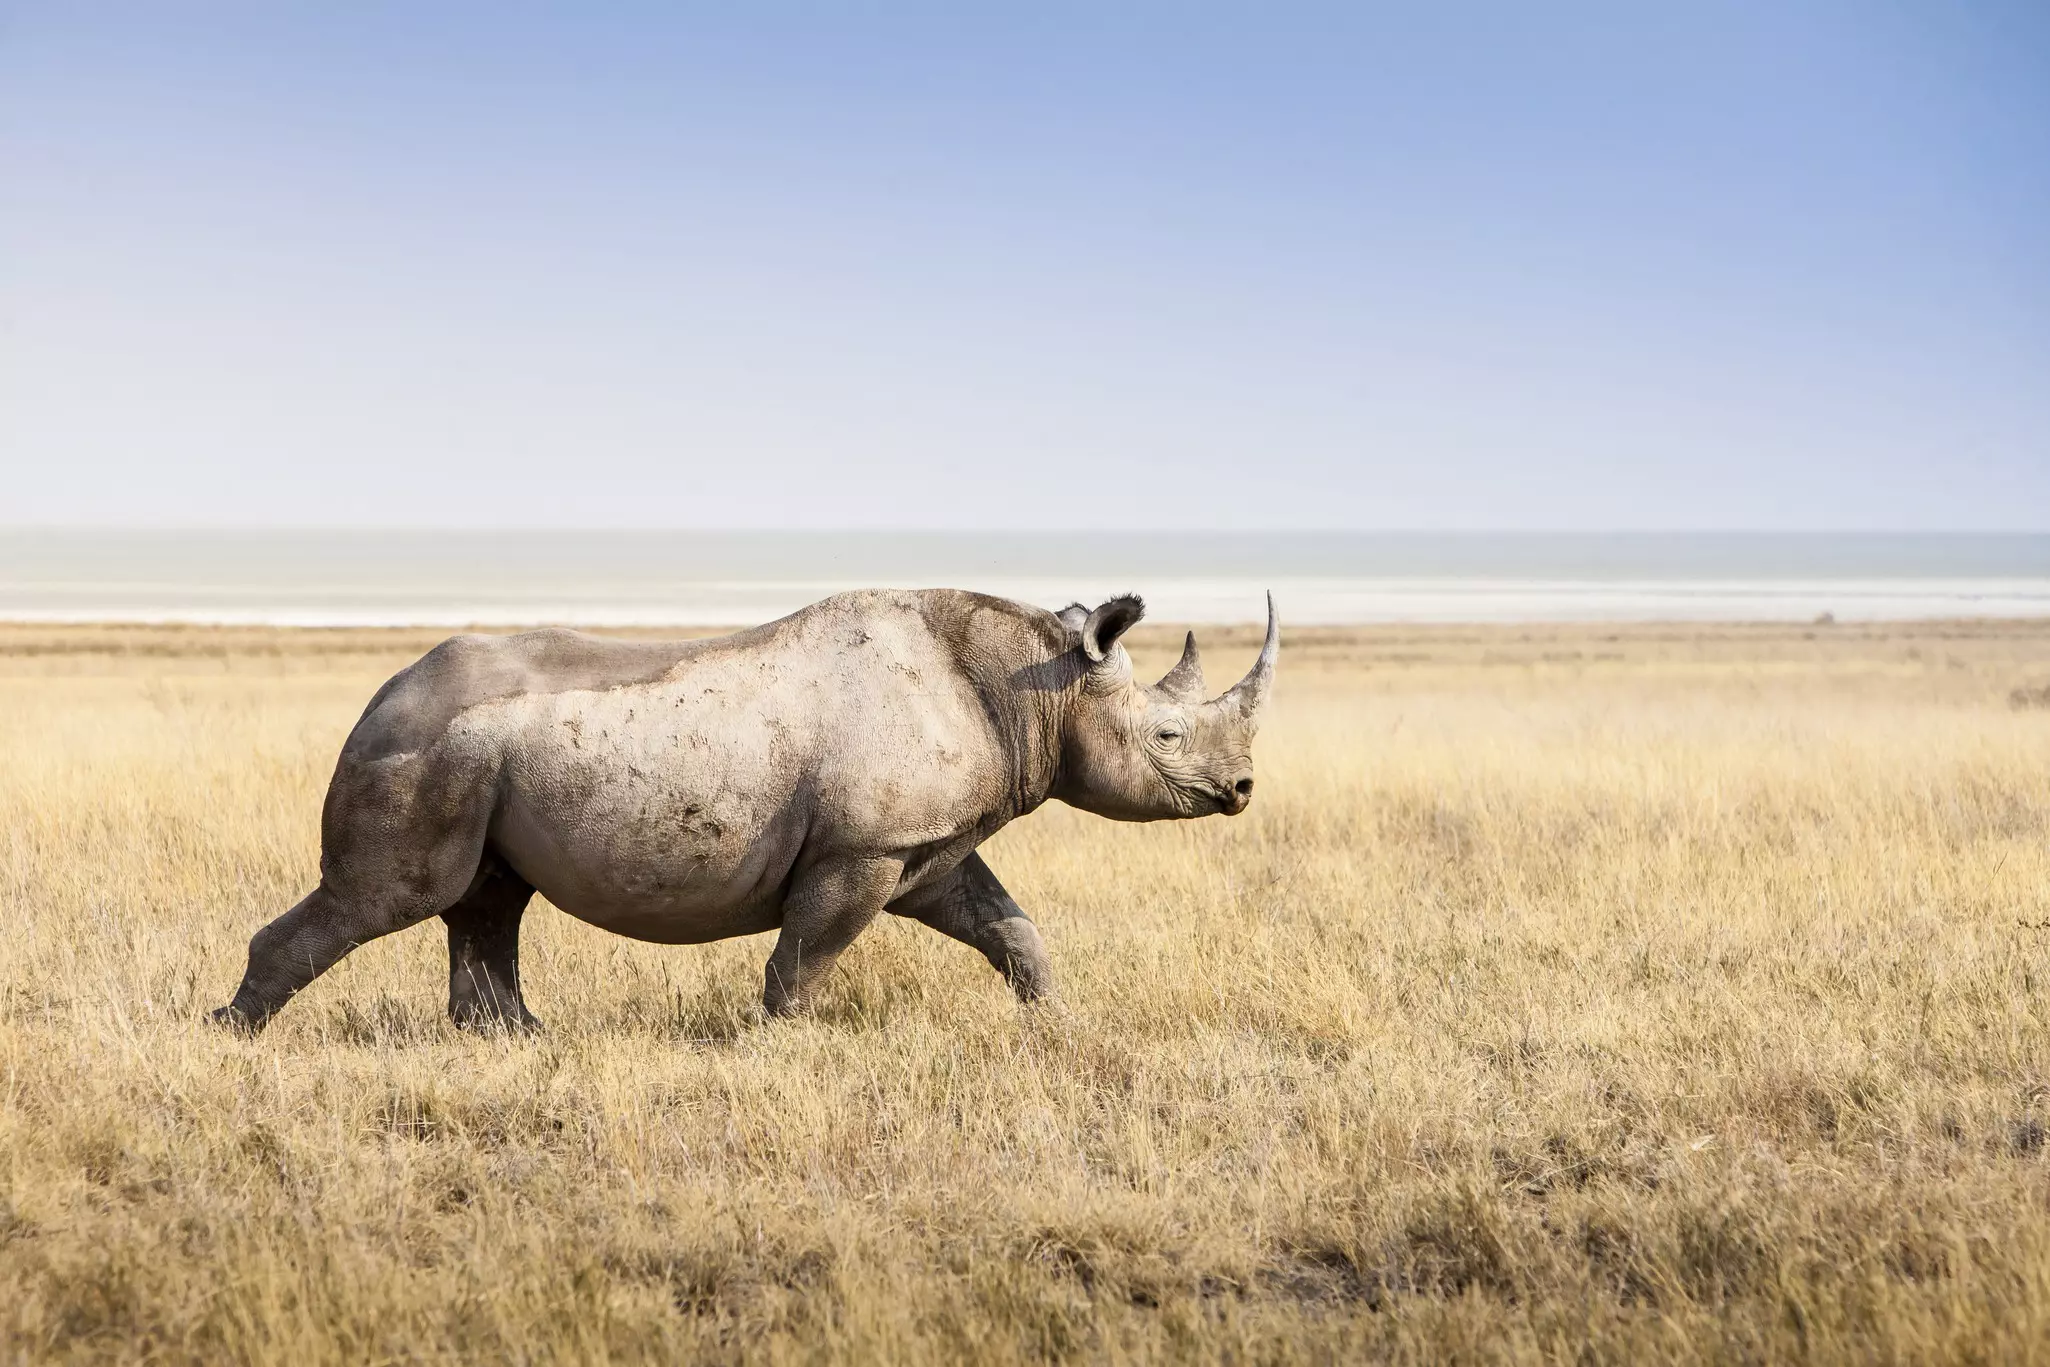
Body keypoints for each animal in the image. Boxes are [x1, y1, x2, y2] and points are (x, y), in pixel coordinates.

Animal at [212, 588, 1277, 1031]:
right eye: (1168, 735)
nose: (1241, 792)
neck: (1035, 688)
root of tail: (380, 693)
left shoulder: (920, 845)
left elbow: (1009, 926)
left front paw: (1056, 1023)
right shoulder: (862, 847)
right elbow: (807, 953)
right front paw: (784, 1044)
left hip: (474, 754)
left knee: (488, 900)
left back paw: (520, 1041)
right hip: (424, 747)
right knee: (389, 895)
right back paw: (233, 1033)